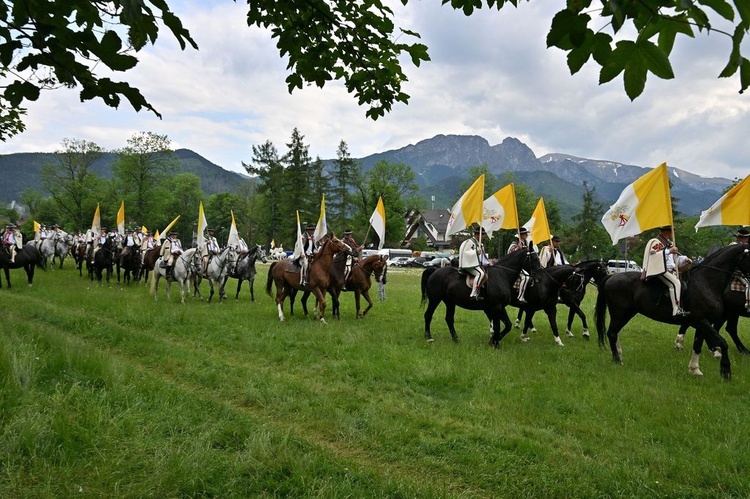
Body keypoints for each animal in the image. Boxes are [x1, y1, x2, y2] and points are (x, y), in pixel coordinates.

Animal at [600, 242, 750, 378]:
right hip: (619, 314)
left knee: (614, 333)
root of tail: (611, 277)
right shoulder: (702, 321)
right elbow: (723, 343)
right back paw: (617, 360)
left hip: (626, 314)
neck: (705, 283)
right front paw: (726, 371)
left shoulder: (702, 324)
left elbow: (697, 346)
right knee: (612, 333)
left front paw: (694, 369)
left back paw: (619, 355)